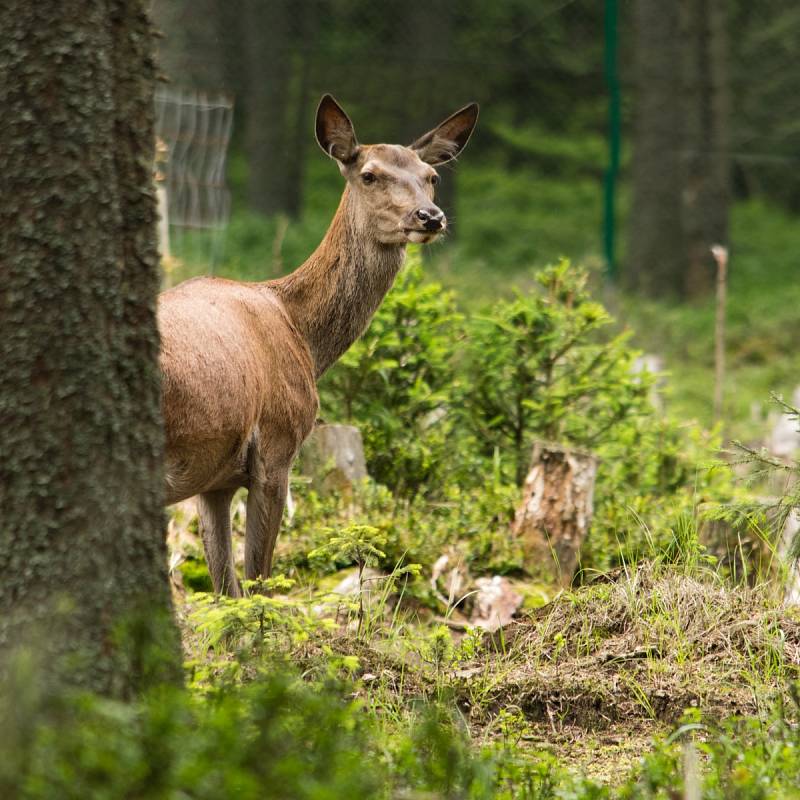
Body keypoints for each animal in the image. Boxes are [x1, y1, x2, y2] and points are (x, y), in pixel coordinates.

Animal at [159, 94, 478, 592]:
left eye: (432, 177)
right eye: (369, 174)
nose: (430, 217)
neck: (304, 336)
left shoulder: (214, 479)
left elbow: (224, 588)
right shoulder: (278, 443)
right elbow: (258, 581)